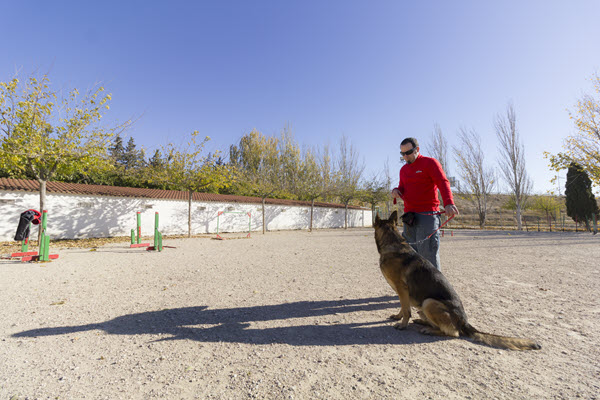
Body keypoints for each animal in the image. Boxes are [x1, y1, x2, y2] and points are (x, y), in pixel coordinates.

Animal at [372, 211, 540, 352]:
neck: (391, 243)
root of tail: (464, 322)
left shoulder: (402, 288)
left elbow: (406, 309)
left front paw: (402, 324)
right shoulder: (401, 291)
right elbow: (403, 306)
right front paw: (398, 316)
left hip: (429, 302)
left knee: (453, 333)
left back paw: (429, 330)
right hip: (424, 306)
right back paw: (422, 322)